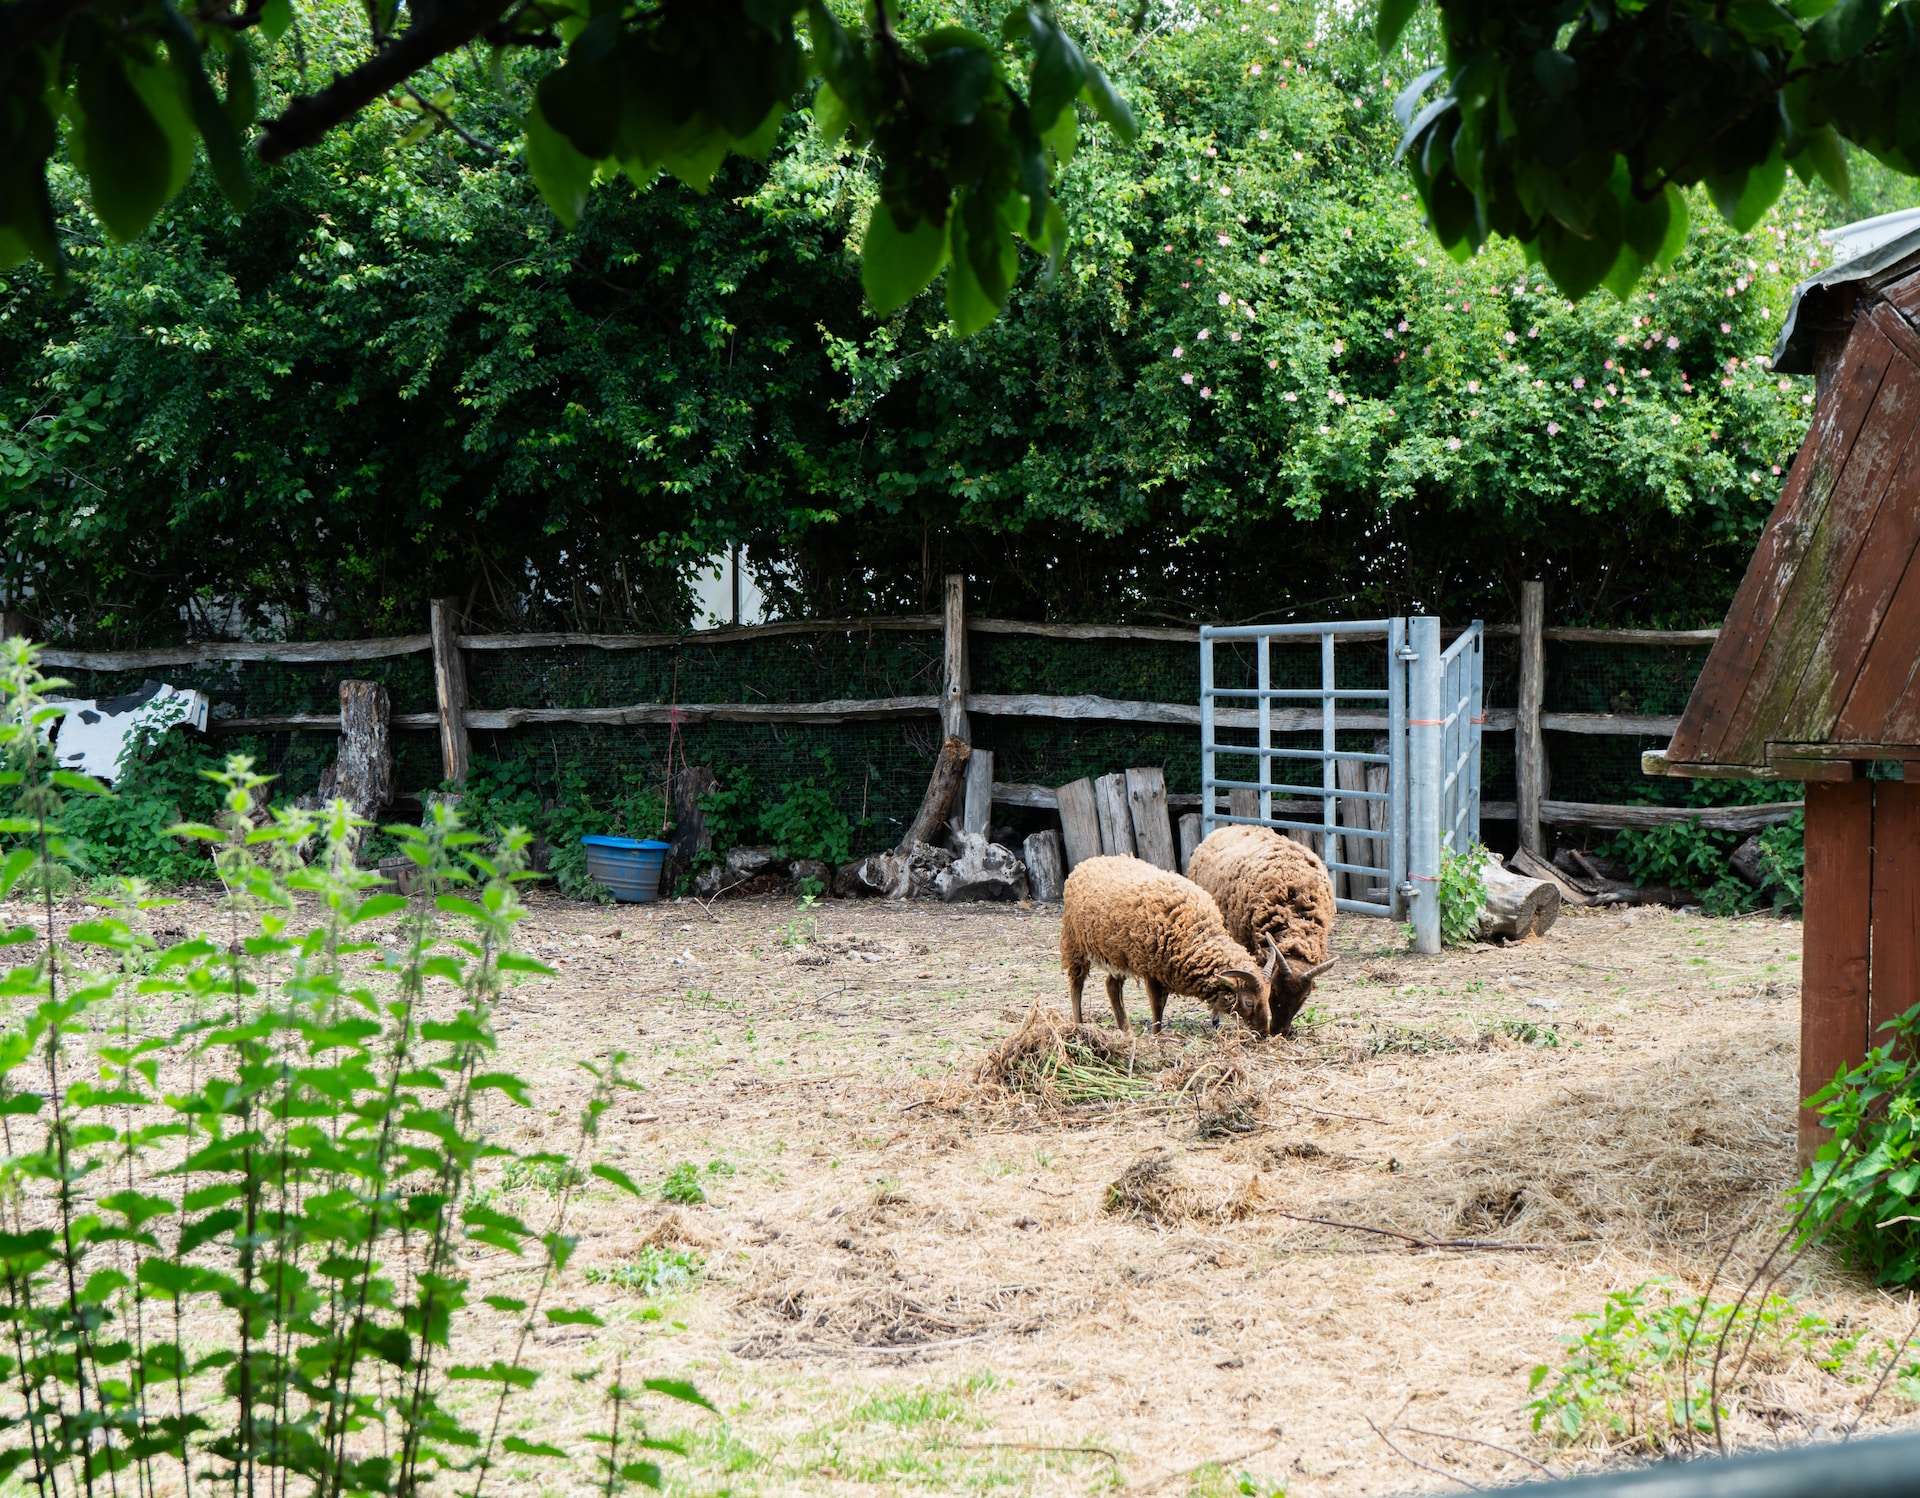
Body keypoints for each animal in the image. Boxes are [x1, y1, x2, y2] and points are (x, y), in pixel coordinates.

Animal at [1052, 860, 1274, 1037]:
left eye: (1268, 997)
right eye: (1249, 1002)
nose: (1264, 1033)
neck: (1196, 934)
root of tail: (1086, 864)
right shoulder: (1152, 970)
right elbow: (1158, 1006)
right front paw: (1157, 1036)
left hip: (1118, 954)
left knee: (1112, 986)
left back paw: (1127, 1030)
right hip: (1074, 943)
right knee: (1076, 985)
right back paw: (1079, 1024)